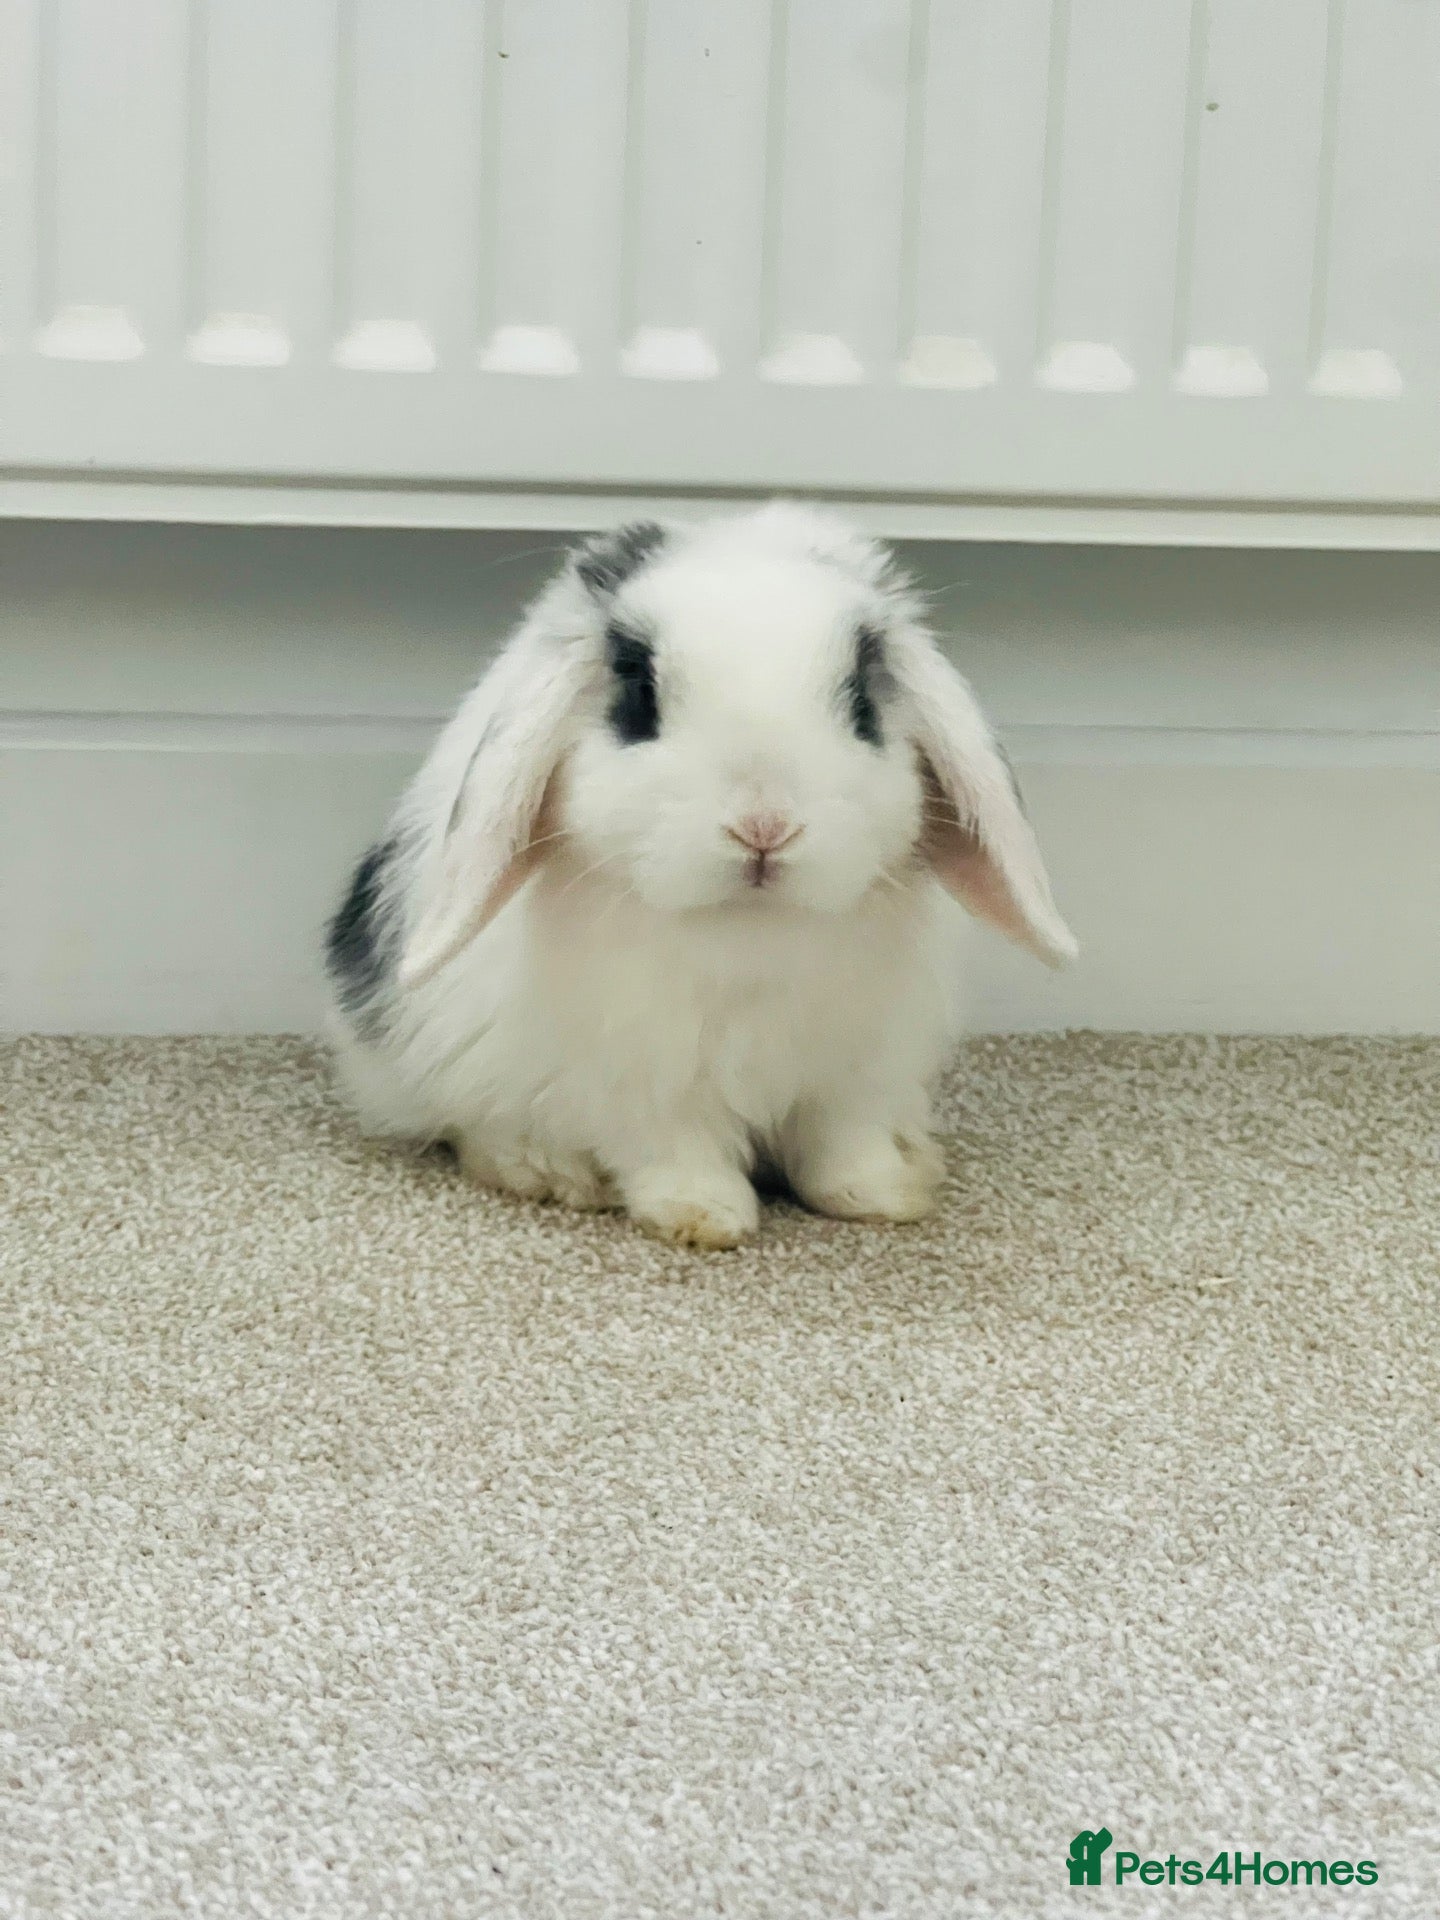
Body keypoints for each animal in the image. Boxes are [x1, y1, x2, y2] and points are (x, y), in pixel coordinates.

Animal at [323, 503, 1075, 1249]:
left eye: (863, 705)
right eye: (640, 696)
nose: (764, 826)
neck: (749, 933)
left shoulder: (853, 1074)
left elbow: (843, 1146)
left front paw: (881, 1197)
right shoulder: (645, 1079)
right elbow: (675, 1150)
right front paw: (702, 1218)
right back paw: (551, 1173)